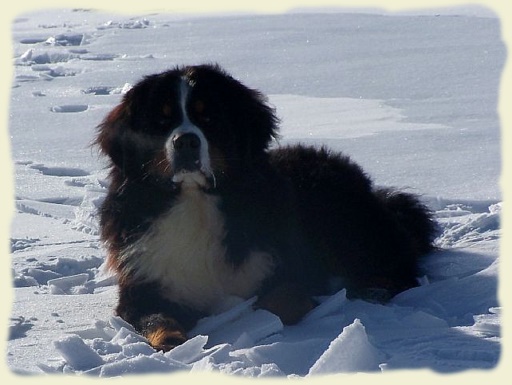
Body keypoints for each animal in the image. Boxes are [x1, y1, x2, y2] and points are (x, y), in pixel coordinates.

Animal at [95, 63, 436, 352]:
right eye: (162, 121)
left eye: (209, 118)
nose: (186, 142)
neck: (196, 203)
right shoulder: (144, 286)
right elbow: (156, 318)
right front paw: (172, 340)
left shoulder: (288, 268)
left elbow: (283, 299)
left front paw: (252, 320)